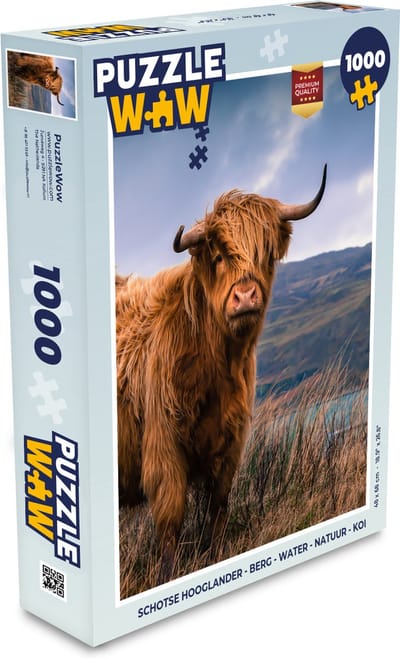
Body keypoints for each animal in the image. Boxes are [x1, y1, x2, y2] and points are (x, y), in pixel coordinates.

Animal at [116, 165, 327, 581]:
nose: (245, 296)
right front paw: (170, 576)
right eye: (218, 255)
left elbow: (218, 508)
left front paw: (214, 556)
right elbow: (171, 520)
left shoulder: (230, 442)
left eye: (265, 251)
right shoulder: (163, 450)